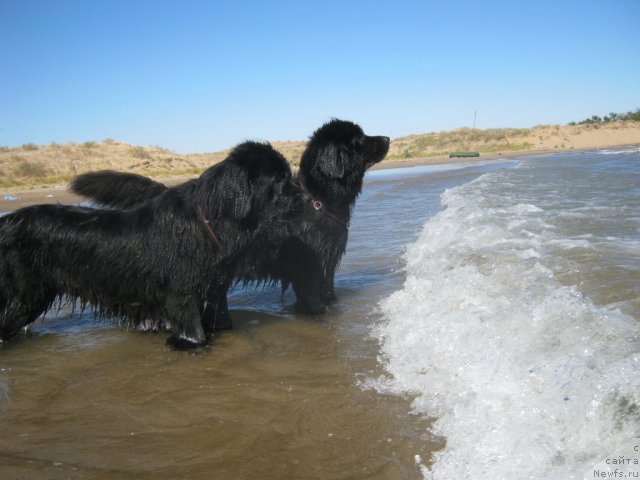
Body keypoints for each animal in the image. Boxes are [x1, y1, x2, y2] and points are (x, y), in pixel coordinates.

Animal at [0, 142, 292, 348]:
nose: (301, 192)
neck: (211, 222)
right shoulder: (182, 298)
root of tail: (7, 221)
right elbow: (196, 335)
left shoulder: (215, 291)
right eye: (279, 181)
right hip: (25, 297)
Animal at [70, 119, 390, 328]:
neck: (320, 199)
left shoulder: (327, 264)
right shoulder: (308, 266)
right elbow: (313, 298)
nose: (387, 138)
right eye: (360, 140)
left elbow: (329, 292)